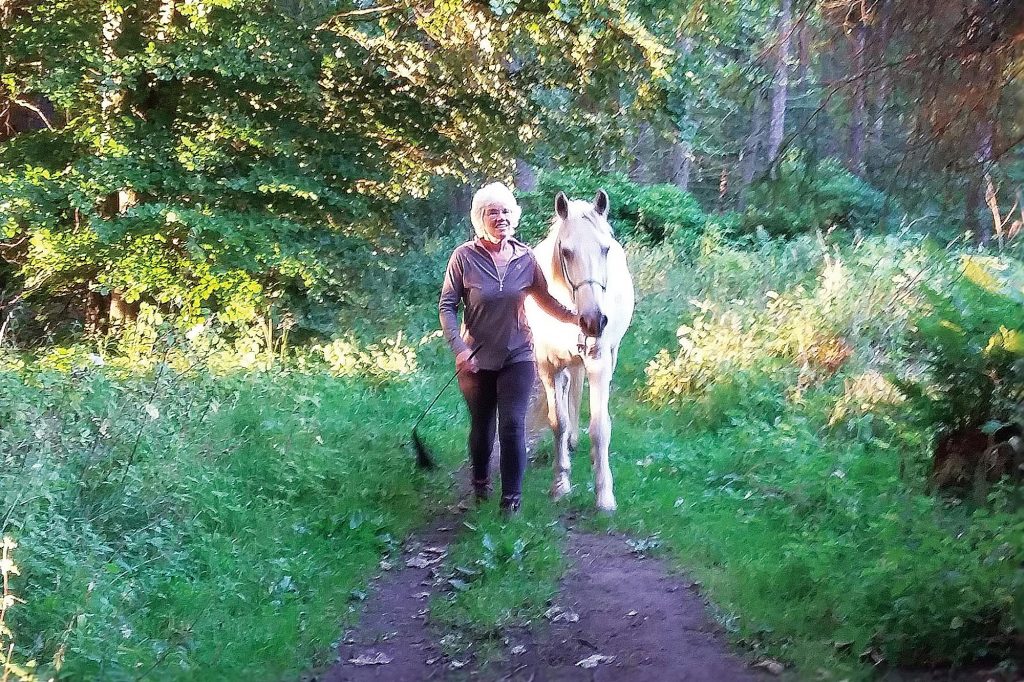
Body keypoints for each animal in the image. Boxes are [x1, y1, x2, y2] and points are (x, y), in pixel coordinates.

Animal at [528, 188, 630, 507]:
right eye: (566, 252)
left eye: (605, 249)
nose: (594, 321)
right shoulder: (547, 366)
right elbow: (557, 422)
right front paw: (560, 483)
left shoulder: (598, 362)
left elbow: (600, 428)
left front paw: (604, 495)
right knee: (569, 390)